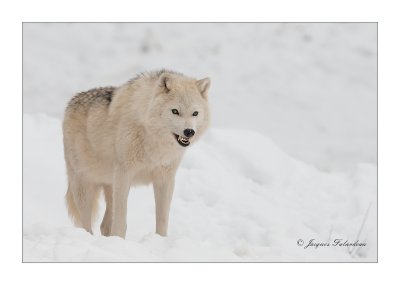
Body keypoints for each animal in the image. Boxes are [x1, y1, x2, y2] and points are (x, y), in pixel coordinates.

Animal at [62, 69, 211, 237]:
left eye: (195, 113)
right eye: (175, 111)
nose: (189, 132)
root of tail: (72, 101)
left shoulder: (165, 178)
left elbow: (162, 218)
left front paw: (160, 239)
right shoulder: (124, 174)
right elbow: (121, 220)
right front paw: (119, 239)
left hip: (110, 185)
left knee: (104, 225)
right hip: (84, 185)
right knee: (85, 224)